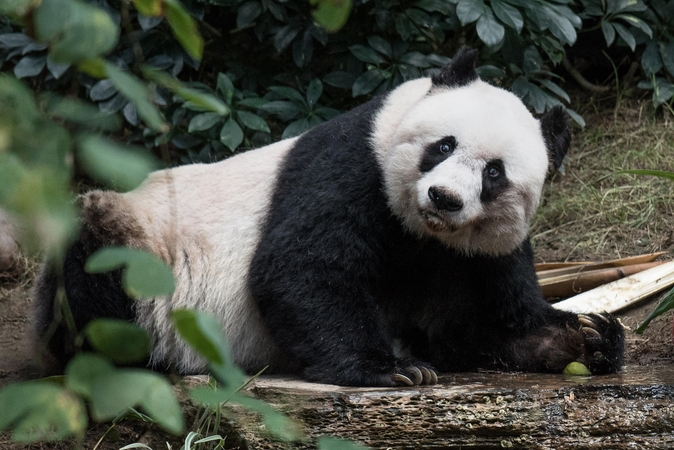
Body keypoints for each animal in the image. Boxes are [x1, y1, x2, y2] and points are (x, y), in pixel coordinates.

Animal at [34, 48, 624, 386]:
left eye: (495, 174)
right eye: (443, 146)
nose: (444, 198)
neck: (423, 233)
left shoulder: (476, 251)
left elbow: (479, 321)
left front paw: (588, 337)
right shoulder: (351, 168)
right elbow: (302, 267)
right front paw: (394, 369)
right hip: (139, 240)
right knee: (97, 268)